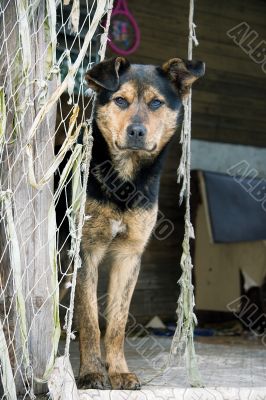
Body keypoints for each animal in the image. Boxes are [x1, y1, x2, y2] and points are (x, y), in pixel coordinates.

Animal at [75, 54, 206, 390]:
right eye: (120, 100)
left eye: (156, 103)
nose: (136, 132)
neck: (125, 179)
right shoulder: (85, 252)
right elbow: (90, 321)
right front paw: (91, 372)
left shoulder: (129, 255)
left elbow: (117, 324)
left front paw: (119, 372)